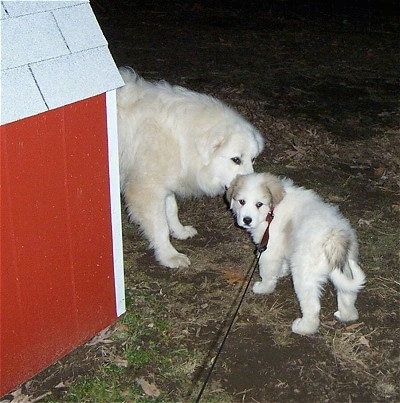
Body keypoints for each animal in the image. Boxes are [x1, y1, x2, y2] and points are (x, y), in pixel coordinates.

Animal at [117, 68, 264, 270]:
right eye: (236, 159)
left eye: (253, 159)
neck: (182, 139)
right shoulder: (147, 190)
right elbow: (160, 226)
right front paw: (169, 256)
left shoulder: (164, 183)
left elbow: (171, 209)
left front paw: (179, 231)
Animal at [225, 173, 366, 334]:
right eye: (241, 201)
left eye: (259, 204)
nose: (246, 220)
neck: (272, 211)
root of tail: (334, 239)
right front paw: (282, 272)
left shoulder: (269, 250)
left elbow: (267, 272)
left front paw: (264, 288)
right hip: (346, 267)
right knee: (348, 294)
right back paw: (346, 315)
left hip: (304, 275)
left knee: (313, 306)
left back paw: (303, 328)